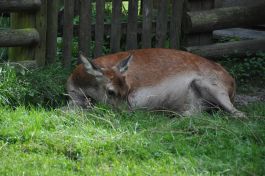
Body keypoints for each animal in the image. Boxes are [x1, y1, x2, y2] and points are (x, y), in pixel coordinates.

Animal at [67, 47, 244, 117]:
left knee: (240, 114)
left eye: (128, 90)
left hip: (214, 86)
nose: (128, 113)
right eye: (110, 91)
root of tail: (232, 82)